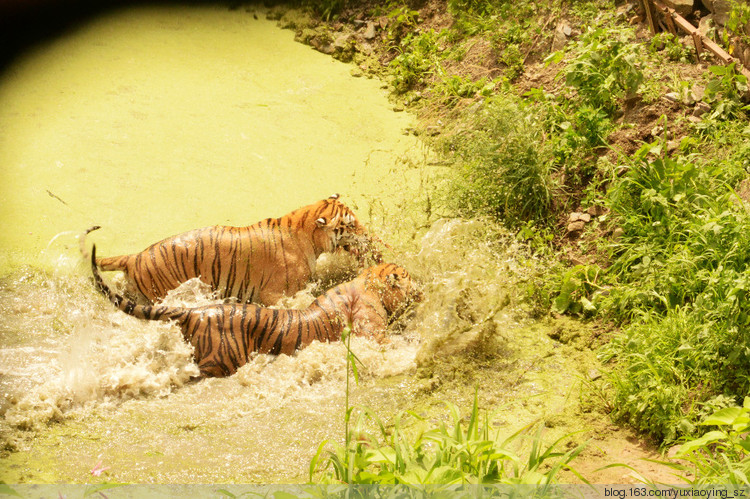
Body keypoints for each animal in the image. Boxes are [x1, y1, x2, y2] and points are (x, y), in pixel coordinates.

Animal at [89, 244, 424, 376]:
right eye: (408, 276)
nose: (422, 288)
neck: (368, 283)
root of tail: (194, 312)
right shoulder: (373, 332)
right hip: (221, 361)